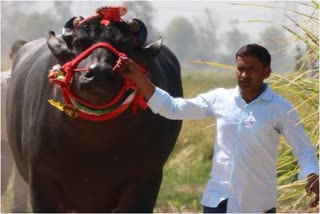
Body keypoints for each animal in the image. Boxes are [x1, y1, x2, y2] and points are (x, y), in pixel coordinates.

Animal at [6, 6, 182, 212]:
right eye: (78, 42)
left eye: (125, 45)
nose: (99, 73)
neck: (95, 139)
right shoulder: (41, 180)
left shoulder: (146, 179)